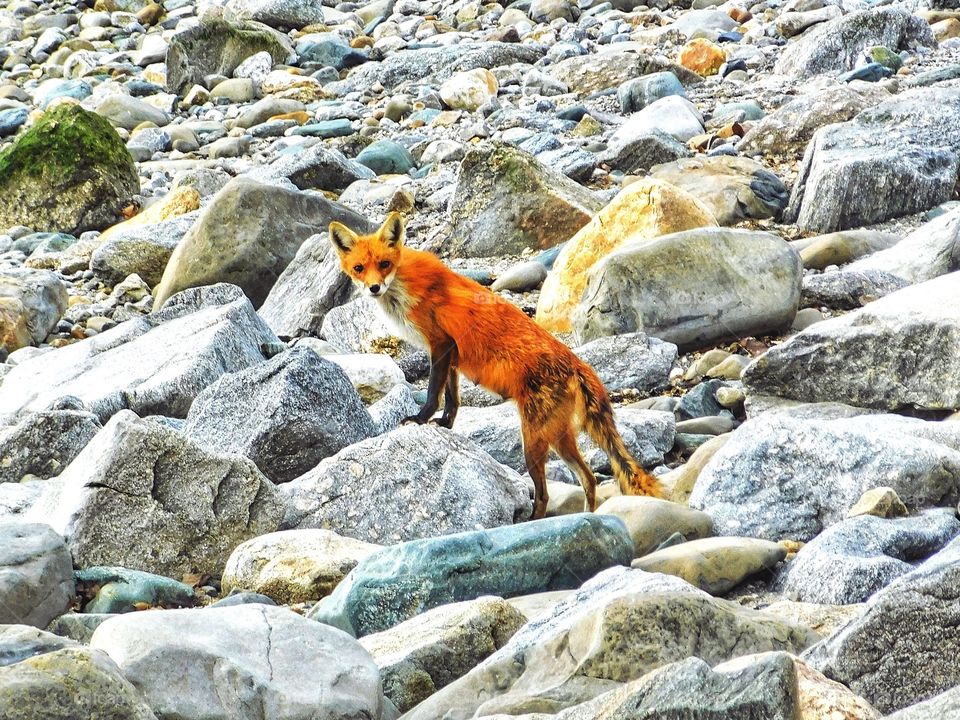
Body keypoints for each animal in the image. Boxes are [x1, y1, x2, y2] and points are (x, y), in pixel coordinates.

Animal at [328, 211, 660, 520]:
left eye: (384, 264)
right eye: (359, 268)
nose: (374, 288)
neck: (403, 287)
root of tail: (578, 363)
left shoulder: (440, 344)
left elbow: (435, 392)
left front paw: (420, 419)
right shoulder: (451, 355)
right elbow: (453, 399)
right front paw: (444, 424)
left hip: (534, 441)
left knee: (544, 494)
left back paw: (532, 523)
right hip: (558, 437)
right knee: (589, 478)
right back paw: (588, 516)